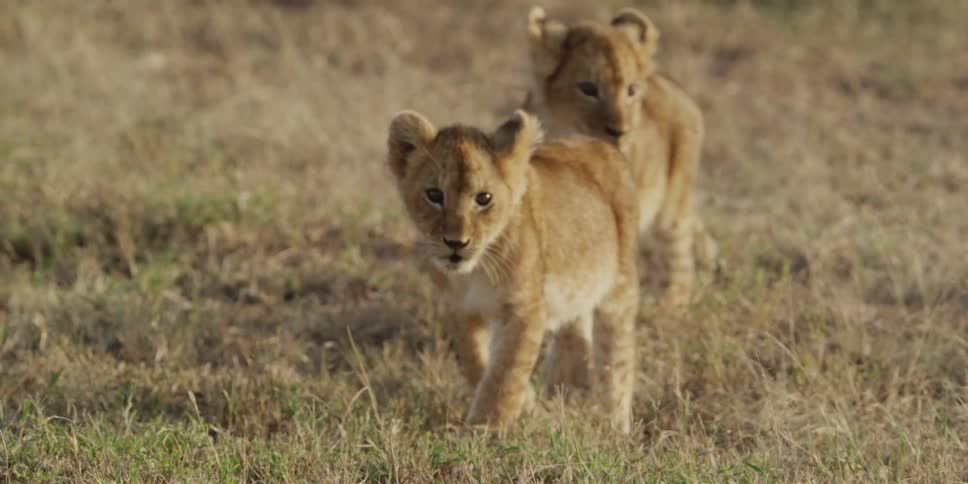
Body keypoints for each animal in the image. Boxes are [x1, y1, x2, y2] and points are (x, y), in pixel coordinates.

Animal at [387, 109, 639, 433]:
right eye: (434, 195)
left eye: (484, 199)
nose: (456, 243)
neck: (474, 272)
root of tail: (596, 143)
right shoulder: (459, 310)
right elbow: (476, 363)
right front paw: (526, 402)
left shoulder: (525, 310)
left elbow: (505, 373)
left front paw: (484, 429)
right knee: (575, 330)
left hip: (618, 289)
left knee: (617, 358)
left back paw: (615, 425)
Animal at [525, 6, 718, 309]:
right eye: (588, 88)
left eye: (631, 90)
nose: (620, 131)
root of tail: (674, 88)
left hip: (673, 204)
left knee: (678, 256)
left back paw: (669, 305)